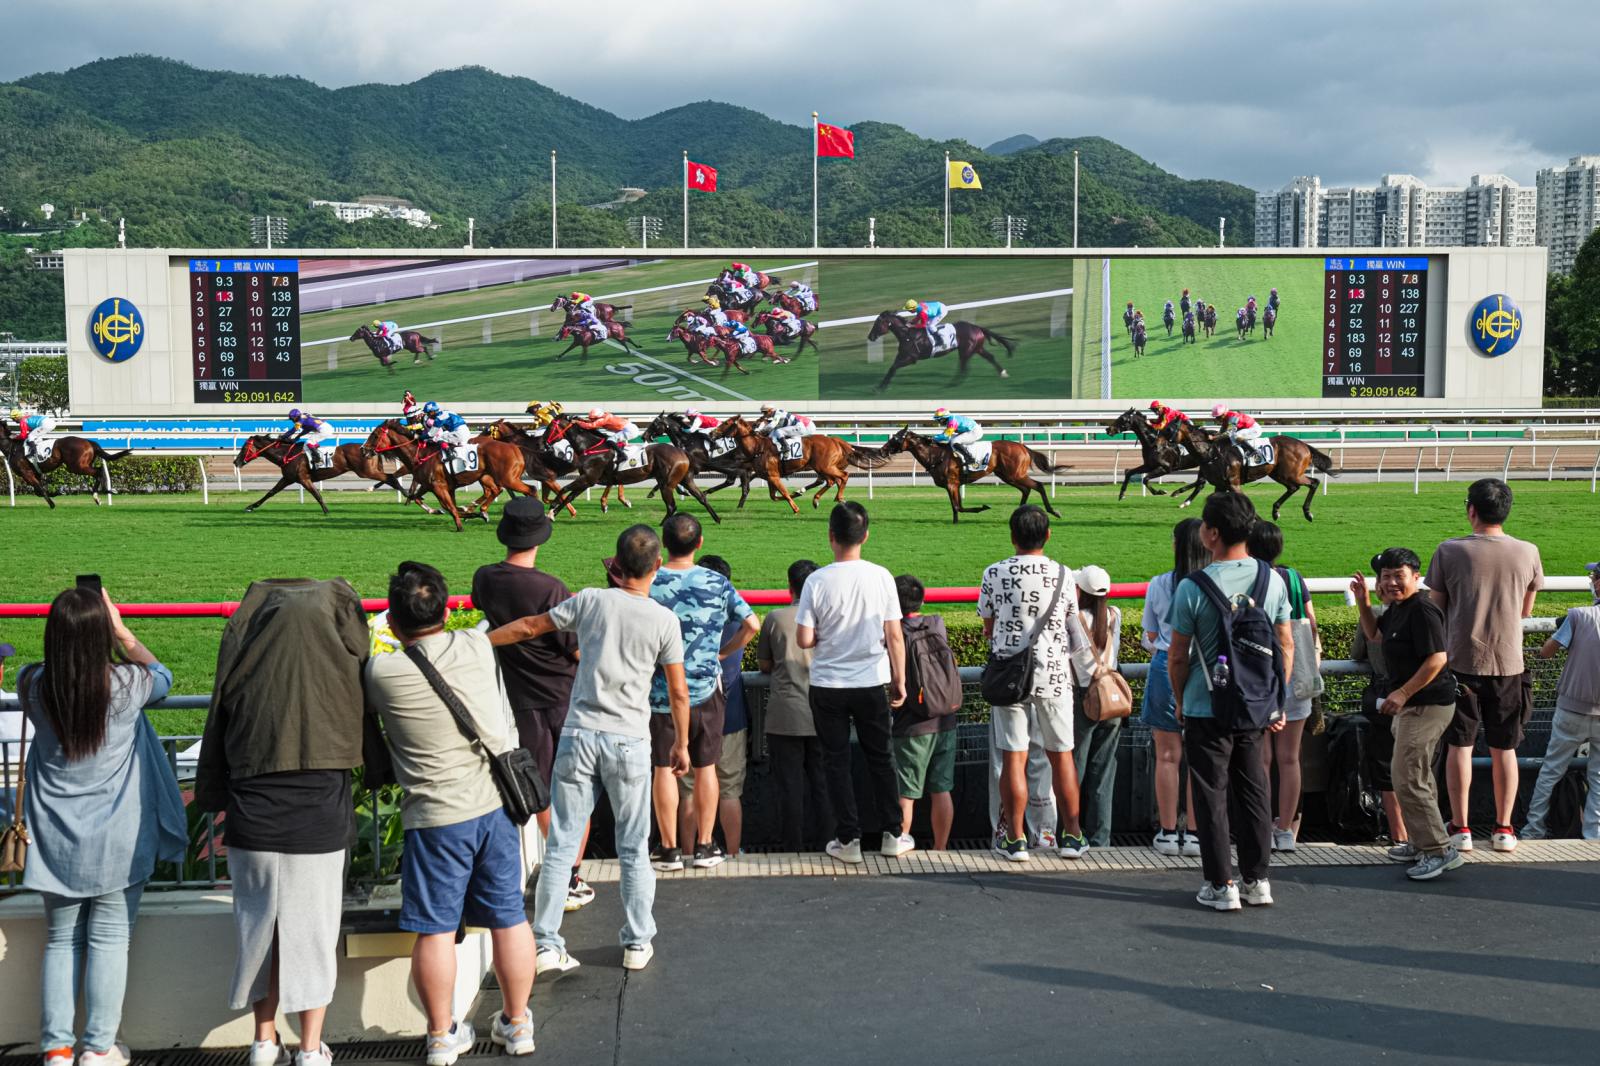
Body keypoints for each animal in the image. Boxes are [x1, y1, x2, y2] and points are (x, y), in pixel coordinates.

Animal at [710, 416, 870, 512]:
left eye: (726, 423)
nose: (712, 433)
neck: (758, 447)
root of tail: (837, 440)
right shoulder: (769, 477)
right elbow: (774, 496)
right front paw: (796, 494)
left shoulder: (773, 476)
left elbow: (784, 493)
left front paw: (795, 508)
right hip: (824, 468)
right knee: (832, 480)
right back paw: (817, 499)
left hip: (825, 467)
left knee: (843, 476)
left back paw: (839, 498)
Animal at [870, 312, 1017, 393]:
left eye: (877, 324)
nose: (870, 336)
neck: (907, 334)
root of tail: (977, 327)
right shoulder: (902, 355)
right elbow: (891, 369)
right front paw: (880, 387)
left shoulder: (911, 358)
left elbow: (893, 367)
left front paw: (880, 388)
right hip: (977, 348)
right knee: (990, 357)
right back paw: (1003, 372)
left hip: (966, 350)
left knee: (964, 367)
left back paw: (952, 384)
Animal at [883, 425, 1068, 521]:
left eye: (896, 438)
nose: (883, 450)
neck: (936, 455)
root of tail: (1023, 446)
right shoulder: (954, 485)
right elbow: (956, 507)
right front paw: (955, 522)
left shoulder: (951, 483)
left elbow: (958, 506)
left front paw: (983, 507)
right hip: (1008, 476)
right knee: (1026, 489)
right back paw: (1019, 512)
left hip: (1015, 475)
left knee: (1038, 485)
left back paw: (1053, 511)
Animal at [1177, 422, 1337, 521]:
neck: (1211, 452)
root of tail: (1304, 445)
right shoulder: (1220, 484)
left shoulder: (1232, 483)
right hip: (1279, 474)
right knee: (1293, 487)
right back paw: (1276, 511)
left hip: (1291, 474)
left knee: (1313, 482)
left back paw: (1307, 512)